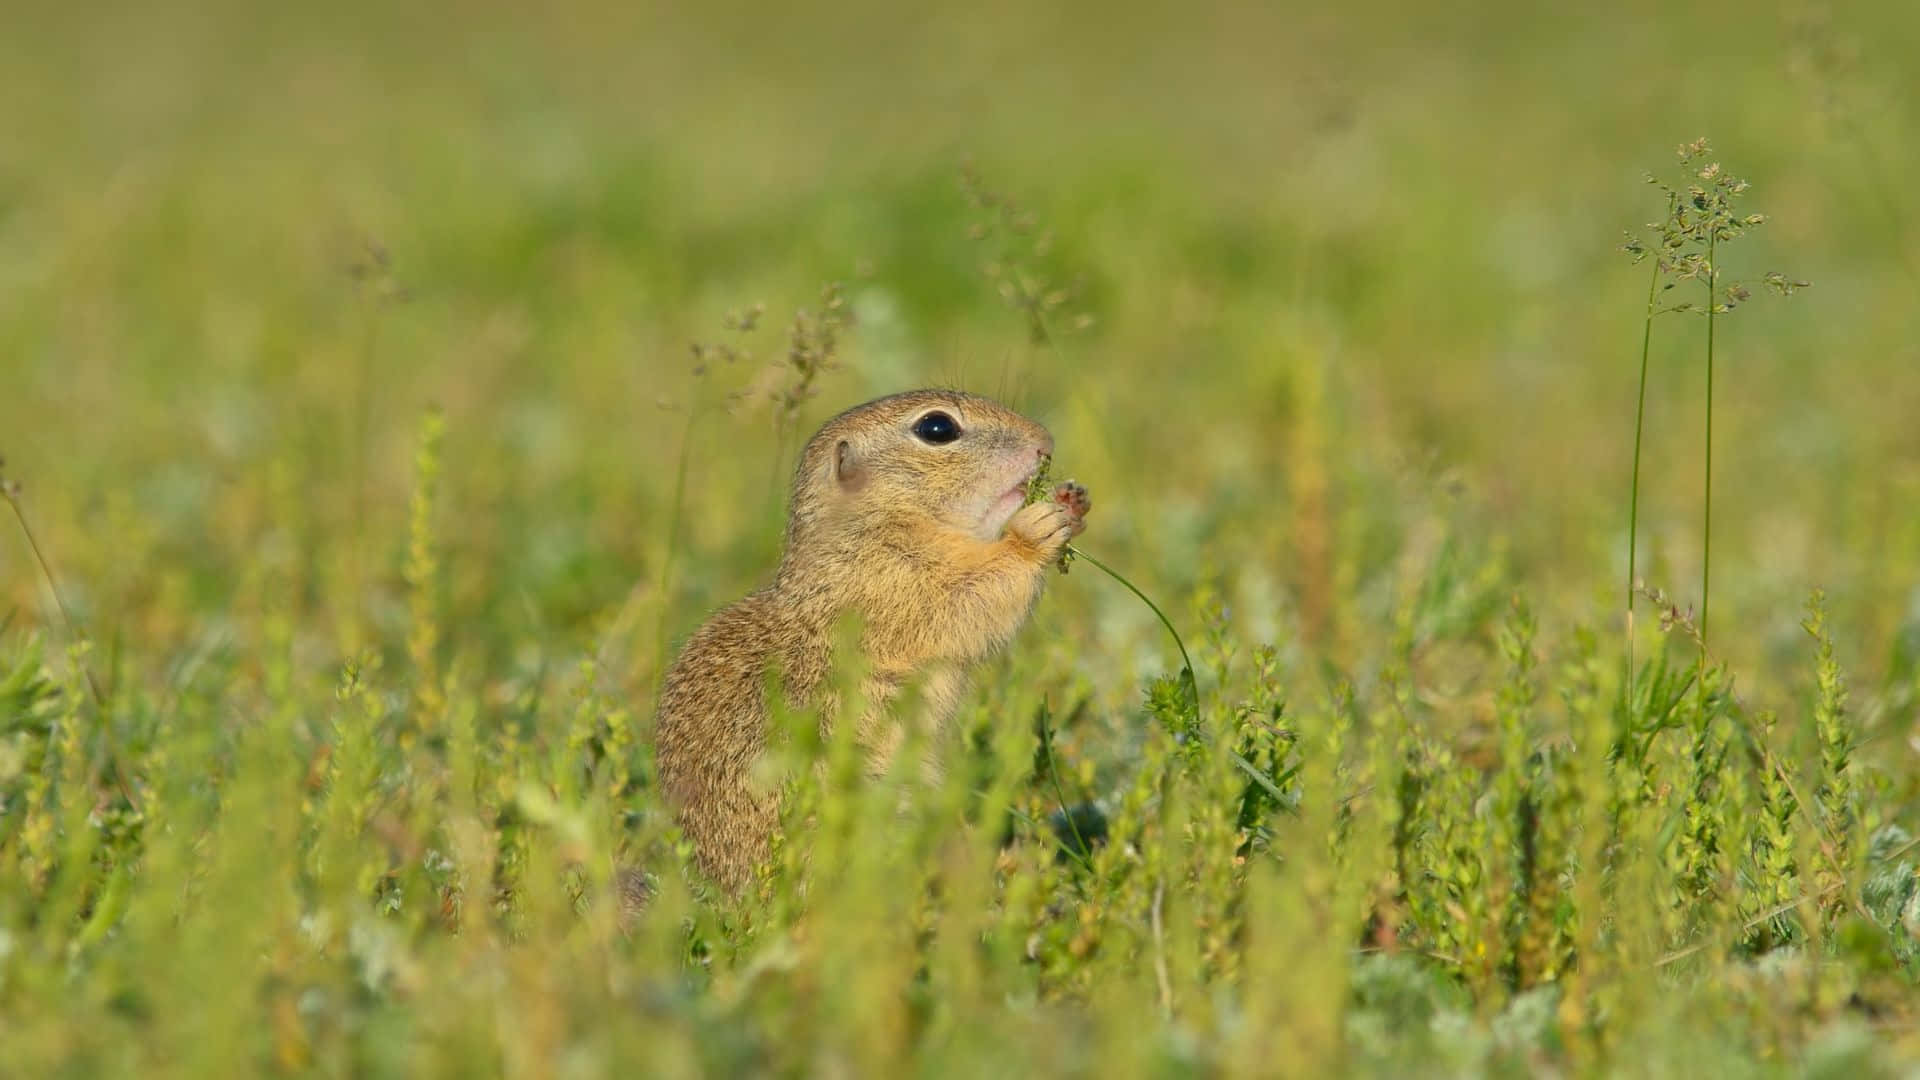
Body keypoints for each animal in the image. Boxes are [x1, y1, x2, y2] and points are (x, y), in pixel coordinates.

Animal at [656, 386, 1082, 891]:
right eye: (937, 428)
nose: (1045, 441)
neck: (871, 528)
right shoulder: (897, 585)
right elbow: (972, 595)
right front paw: (1036, 531)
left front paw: (1073, 501)